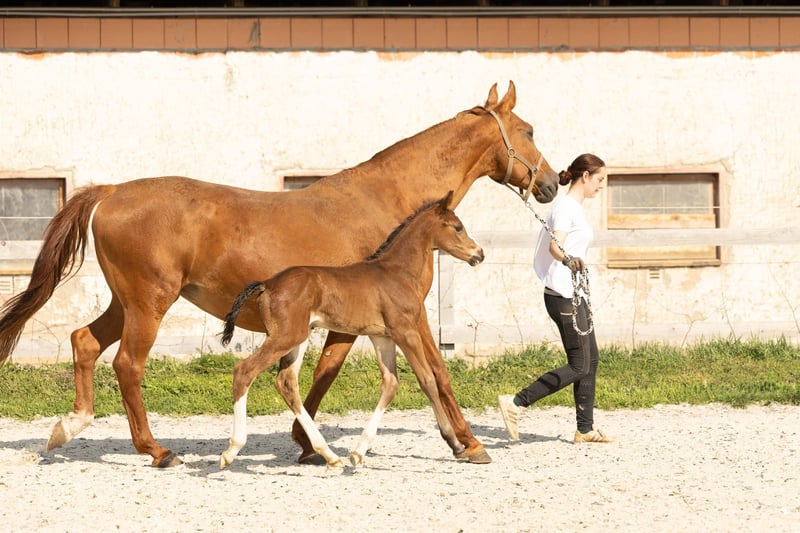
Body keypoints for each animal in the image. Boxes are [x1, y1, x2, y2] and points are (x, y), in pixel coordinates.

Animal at [218, 191, 484, 469]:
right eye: (457, 227)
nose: (479, 253)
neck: (397, 272)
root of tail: (266, 284)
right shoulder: (405, 332)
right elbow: (427, 379)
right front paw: (456, 445)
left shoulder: (382, 337)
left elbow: (391, 383)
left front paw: (359, 452)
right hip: (286, 337)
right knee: (244, 371)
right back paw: (232, 450)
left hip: (296, 339)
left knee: (286, 382)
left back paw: (329, 455)